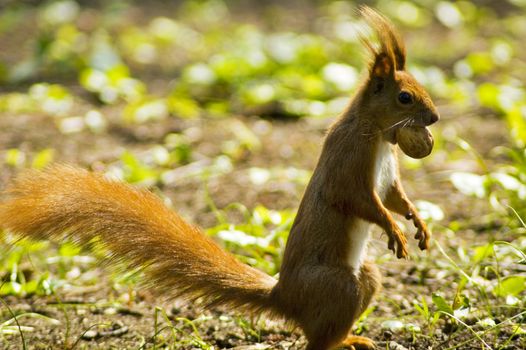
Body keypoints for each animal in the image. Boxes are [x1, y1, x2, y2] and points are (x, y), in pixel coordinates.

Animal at [0, 6, 442, 350]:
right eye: (405, 97)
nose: (435, 117)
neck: (379, 135)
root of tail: (285, 297)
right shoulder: (348, 161)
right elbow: (356, 199)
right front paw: (393, 229)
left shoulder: (388, 174)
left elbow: (395, 195)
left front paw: (417, 223)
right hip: (338, 285)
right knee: (316, 341)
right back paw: (345, 339)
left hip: (365, 277)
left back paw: (351, 338)